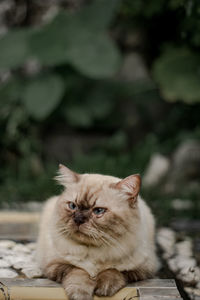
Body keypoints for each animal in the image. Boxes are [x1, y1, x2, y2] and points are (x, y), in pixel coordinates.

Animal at [36, 164, 159, 300]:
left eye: (98, 211)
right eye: (72, 206)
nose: (78, 220)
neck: (95, 253)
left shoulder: (142, 270)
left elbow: (114, 271)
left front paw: (104, 288)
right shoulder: (55, 265)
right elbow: (78, 271)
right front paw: (80, 294)